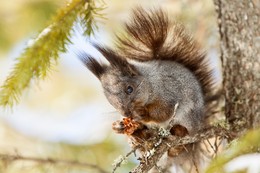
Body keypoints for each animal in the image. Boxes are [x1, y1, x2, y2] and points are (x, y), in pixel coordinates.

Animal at [78, 6, 214, 170]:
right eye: (109, 100)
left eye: (129, 89)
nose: (126, 113)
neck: (150, 83)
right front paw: (119, 125)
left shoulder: (169, 91)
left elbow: (164, 111)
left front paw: (142, 113)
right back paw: (138, 133)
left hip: (189, 120)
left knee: (183, 141)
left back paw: (179, 134)